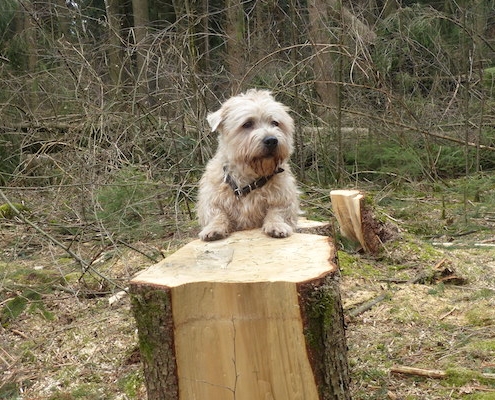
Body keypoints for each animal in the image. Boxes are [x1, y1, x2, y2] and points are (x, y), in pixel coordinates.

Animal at [197, 90, 298, 241]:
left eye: (275, 123)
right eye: (247, 123)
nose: (271, 140)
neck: (250, 178)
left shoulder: (285, 198)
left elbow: (277, 210)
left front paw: (276, 225)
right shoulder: (212, 199)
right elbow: (217, 213)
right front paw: (214, 228)